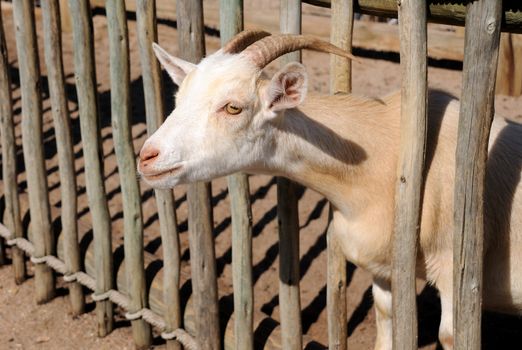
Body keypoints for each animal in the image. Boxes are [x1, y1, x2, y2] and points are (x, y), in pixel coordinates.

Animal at [137, 30, 520, 350]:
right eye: (179, 96)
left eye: (233, 107)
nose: (147, 157)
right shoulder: (382, 269)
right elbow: (386, 320)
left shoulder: (455, 272)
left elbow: (450, 335)